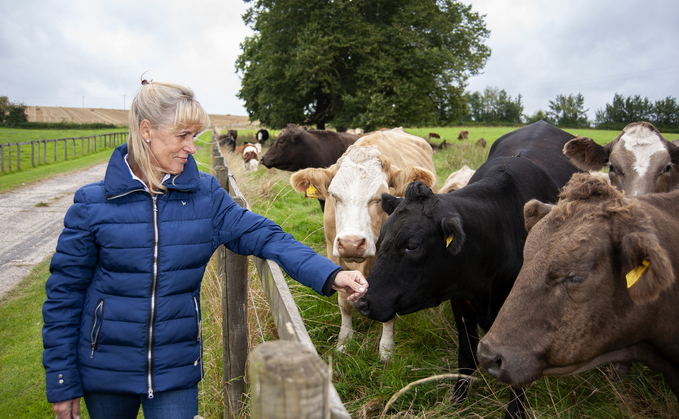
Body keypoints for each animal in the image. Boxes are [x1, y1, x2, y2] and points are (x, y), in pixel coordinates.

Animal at [290, 128, 438, 360]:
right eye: (334, 195)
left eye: (379, 198)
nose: (351, 243)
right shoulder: (334, 253)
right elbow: (344, 303)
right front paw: (344, 342)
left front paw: (386, 350)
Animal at [356, 120, 584, 416]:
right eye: (382, 236)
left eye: (412, 246)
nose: (364, 302)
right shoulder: (460, 300)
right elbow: (466, 354)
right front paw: (458, 399)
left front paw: (515, 411)